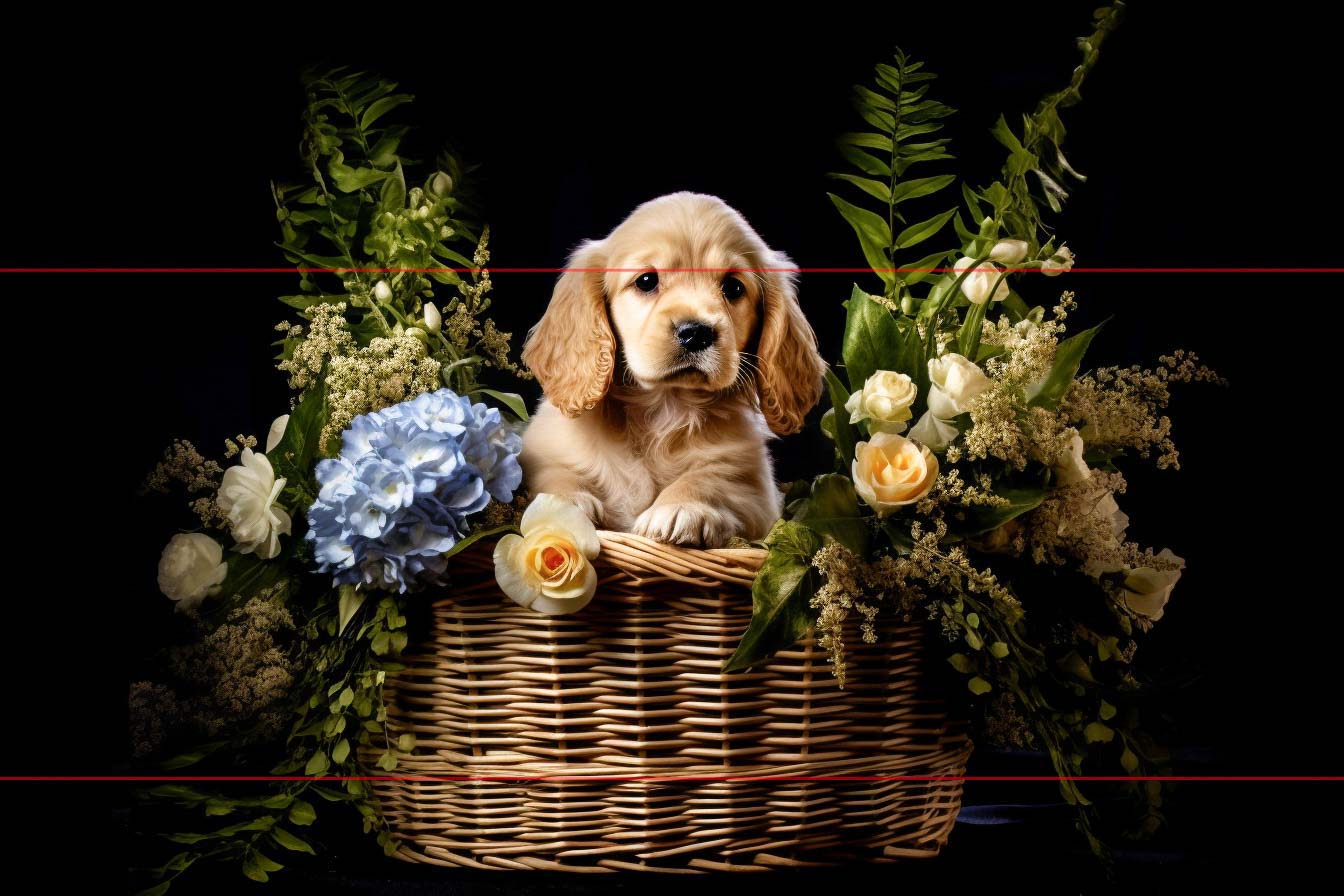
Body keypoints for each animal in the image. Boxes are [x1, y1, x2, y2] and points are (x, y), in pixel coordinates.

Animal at [518, 193, 822, 548]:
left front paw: (681, 507)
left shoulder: (757, 490)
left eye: (733, 287)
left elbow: (712, 478)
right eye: (647, 281)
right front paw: (563, 504)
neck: (664, 406)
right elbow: (554, 474)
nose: (696, 332)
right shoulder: (543, 450)